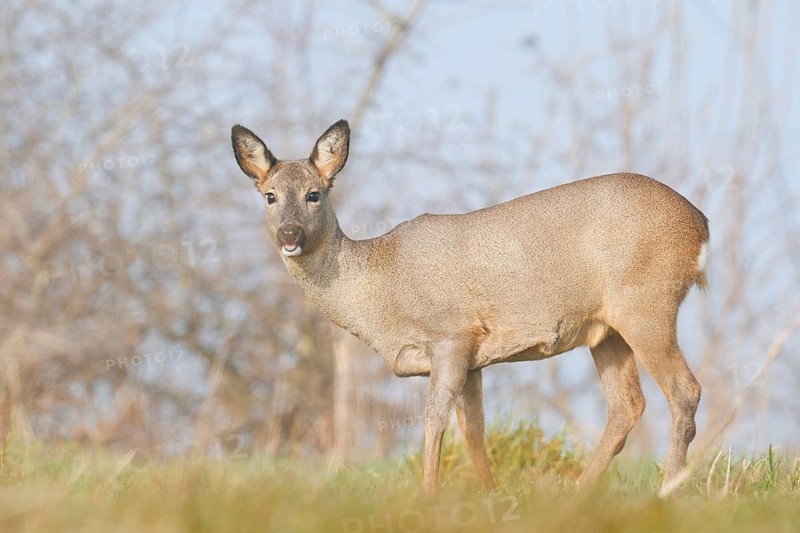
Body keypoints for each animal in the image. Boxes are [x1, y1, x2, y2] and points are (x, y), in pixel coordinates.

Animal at [231, 119, 709, 495]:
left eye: (314, 194)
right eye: (270, 196)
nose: (290, 235)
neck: (381, 285)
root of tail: (701, 224)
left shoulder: (450, 335)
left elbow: (434, 420)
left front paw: (428, 495)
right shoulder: (474, 357)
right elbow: (473, 428)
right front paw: (489, 493)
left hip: (646, 304)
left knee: (684, 389)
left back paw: (666, 490)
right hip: (606, 330)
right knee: (627, 406)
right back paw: (579, 493)